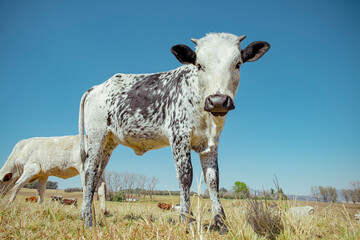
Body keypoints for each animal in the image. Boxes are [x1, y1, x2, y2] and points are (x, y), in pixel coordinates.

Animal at [79, 32, 270, 232]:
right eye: (199, 65)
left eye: (237, 64)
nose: (218, 101)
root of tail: (97, 87)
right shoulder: (179, 136)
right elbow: (185, 176)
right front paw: (187, 220)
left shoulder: (212, 144)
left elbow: (213, 180)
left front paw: (221, 223)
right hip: (96, 137)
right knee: (90, 173)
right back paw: (88, 221)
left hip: (109, 143)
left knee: (97, 176)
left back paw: (88, 215)